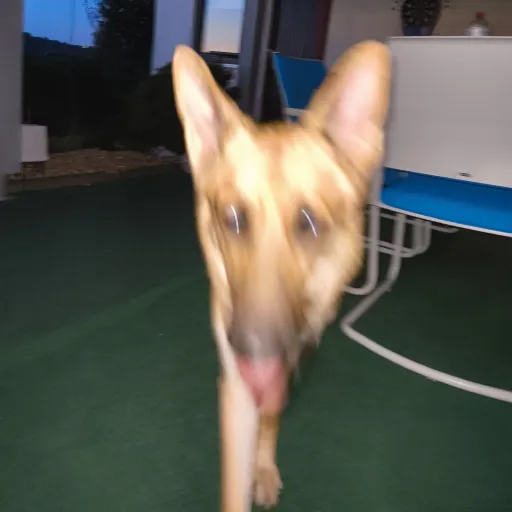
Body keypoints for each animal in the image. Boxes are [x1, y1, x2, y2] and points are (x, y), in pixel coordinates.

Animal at [172, 41, 391, 509]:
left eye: (309, 223)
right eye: (232, 219)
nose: (253, 354)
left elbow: (272, 411)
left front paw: (264, 466)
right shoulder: (239, 386)